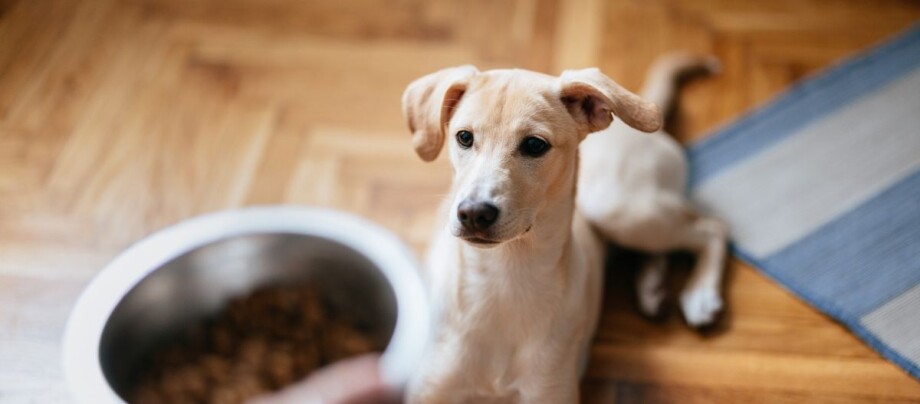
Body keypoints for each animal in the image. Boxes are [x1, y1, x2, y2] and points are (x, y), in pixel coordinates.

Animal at [402, 53, 724, 404]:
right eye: (464, 137)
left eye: (534, 145)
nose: (474, 213)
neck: (505, 277)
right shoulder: (429, 391)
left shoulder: (550, 390)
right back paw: (653, 287)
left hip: (615, 207)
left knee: (710, 227)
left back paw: (700, 294)